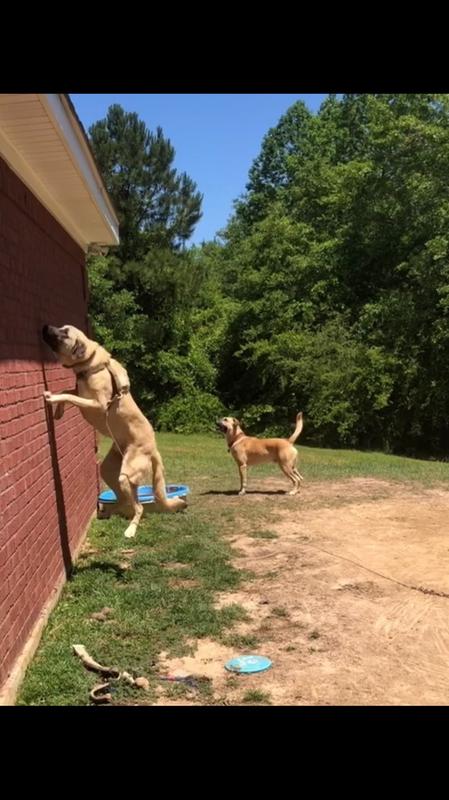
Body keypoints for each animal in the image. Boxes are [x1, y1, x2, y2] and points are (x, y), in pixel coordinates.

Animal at [42, 324, 186, 536]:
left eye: (65, 333)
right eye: (61, 327)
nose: (45, 327)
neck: (90, 364)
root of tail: (154, 449)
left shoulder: (97, 404)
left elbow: (69, 396)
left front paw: (52, 399)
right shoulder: (81, 393)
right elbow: (67, 391)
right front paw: (58, 412)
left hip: (126, 474)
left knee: (139, 507)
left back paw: (130, 531)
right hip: (109, 470)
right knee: (125, 500)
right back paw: (109, 513)